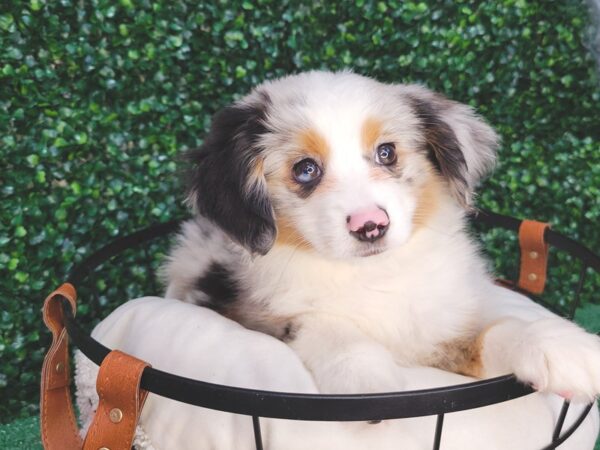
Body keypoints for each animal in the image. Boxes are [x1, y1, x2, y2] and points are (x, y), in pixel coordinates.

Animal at [162, 70, 600, 400]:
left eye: (387, 152)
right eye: (305, 169)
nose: (370, 225)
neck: (372, 275)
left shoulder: (440, 333)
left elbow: (498, 328)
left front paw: (563, 349)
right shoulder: (248, 311)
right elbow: (318, 325)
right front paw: (364, 376)